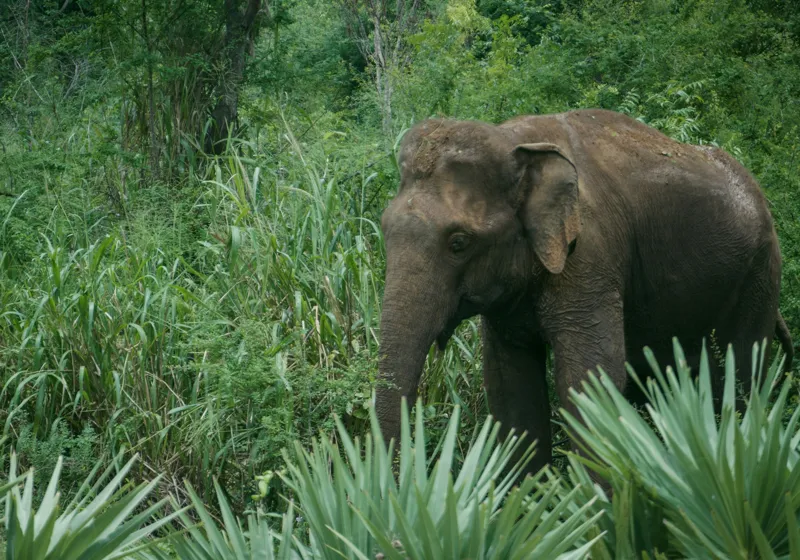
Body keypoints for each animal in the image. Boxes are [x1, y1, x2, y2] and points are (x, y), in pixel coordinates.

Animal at [375, 108, 794, 476]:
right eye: (384, 229)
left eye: (458, 243)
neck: (515, 141)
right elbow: (510, 388)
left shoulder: (590, 256)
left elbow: (589, 379)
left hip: (761, 272)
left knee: (742, 375)